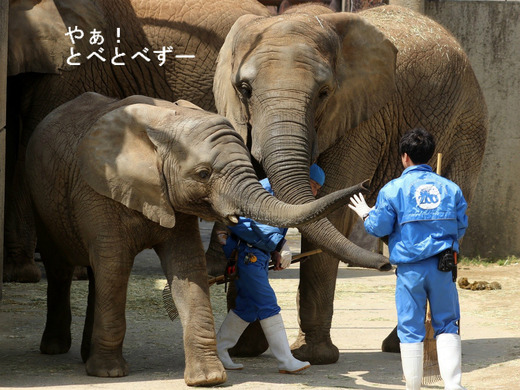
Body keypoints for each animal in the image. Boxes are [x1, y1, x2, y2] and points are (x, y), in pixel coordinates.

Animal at [211, 3, 488, 364]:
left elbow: (330, 212)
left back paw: (408, 344)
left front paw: (313, 356)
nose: (383, 266)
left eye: (324, 93)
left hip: (467, 128)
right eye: (244, 90)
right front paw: (245, 350)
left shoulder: (360, 120)